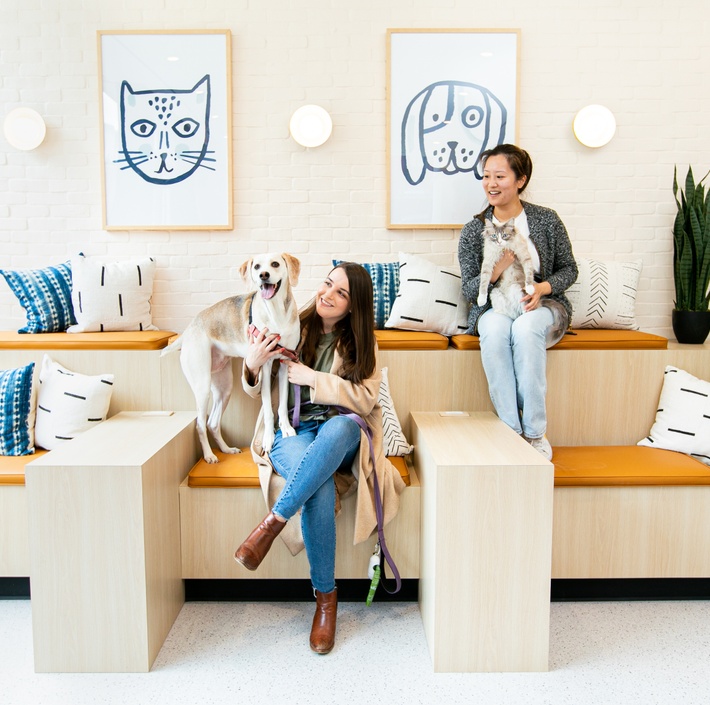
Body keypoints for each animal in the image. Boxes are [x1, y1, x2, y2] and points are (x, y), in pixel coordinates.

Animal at [164, 253, 300, 462]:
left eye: (275, 264)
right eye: (257, 266)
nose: (263, 275)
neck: (276, 313)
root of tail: (189, 329)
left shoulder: (286, 362)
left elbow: (283, 405)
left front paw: (286, 428)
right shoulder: (265, 365)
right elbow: (268, 410)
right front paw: (269, 439)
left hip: (224, 388)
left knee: (212, 423)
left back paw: (226, 449)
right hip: (202, 386)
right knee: (200, 425)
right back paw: (209, 455)